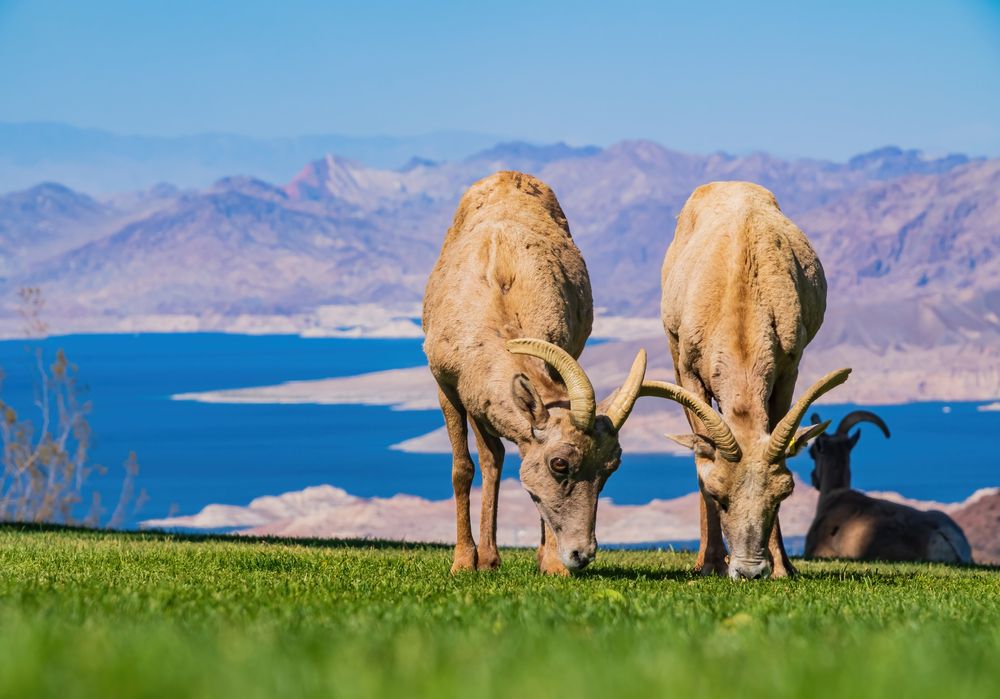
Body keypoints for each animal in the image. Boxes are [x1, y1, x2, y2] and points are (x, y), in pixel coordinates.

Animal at [422, 171, 647, 575]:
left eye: (611, 468)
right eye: (560, 464)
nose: (581, 555)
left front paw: (552, 564)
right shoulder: (446, 386)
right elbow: (463, 468)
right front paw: (463, 562)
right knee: (491, 459)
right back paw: (487, 558)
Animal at [638, 181, 850, 579]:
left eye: (783, 494)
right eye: (719, 494)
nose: (750, 571)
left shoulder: (788, 369)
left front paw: (782, 567)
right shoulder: (689, 372)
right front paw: (709, 564)